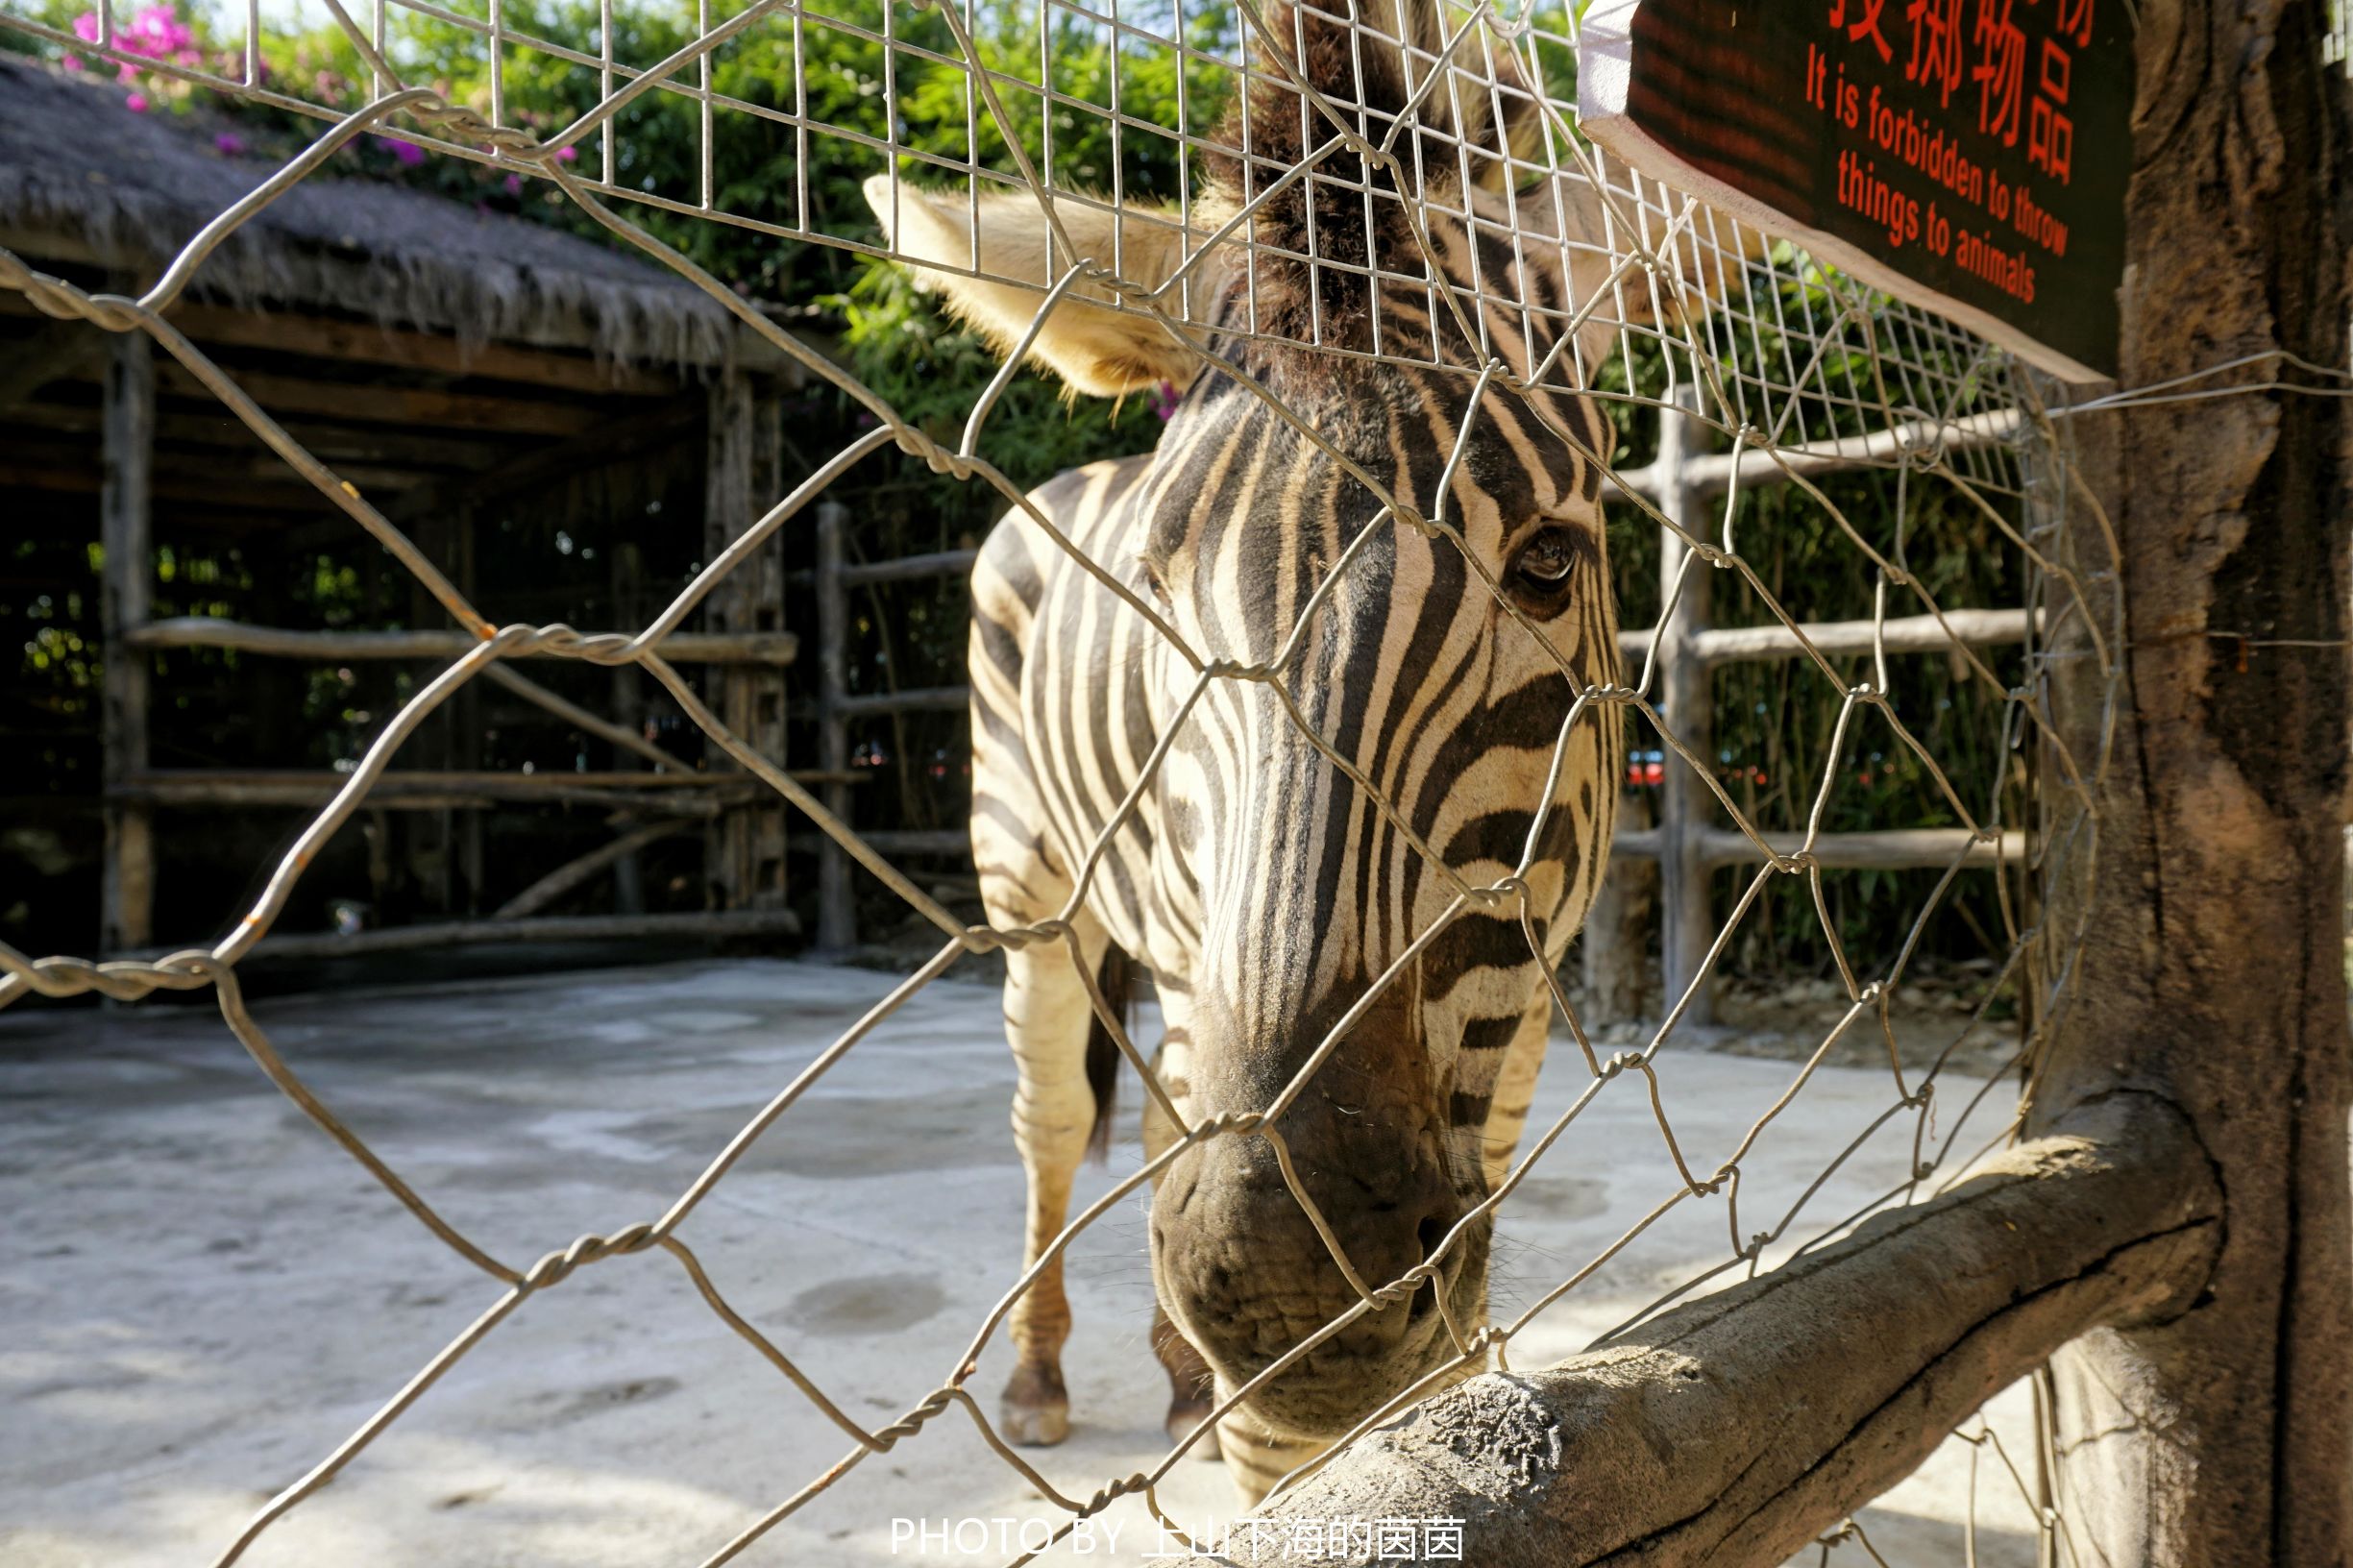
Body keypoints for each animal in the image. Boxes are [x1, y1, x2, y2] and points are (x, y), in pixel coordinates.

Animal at [875, 0, 1684, 1507]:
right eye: (1152, 595)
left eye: (1549, 562)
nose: (1280, 1281)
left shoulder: (1510, 1008)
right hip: (1032, 888)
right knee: (1054, 1122)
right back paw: (1043, 1378)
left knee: (1146, 1127)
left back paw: (1178, 1379)